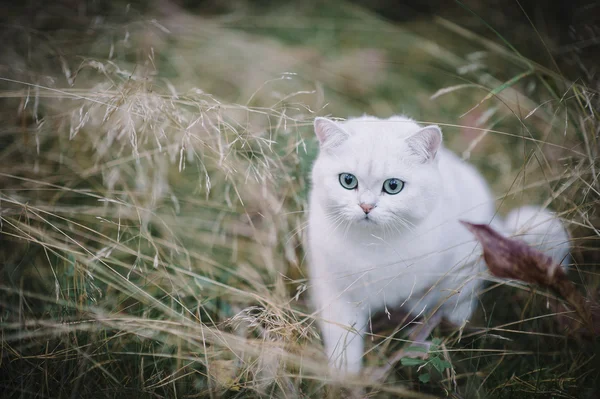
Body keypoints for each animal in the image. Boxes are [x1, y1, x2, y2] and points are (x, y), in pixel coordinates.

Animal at [308, 115, 568, 376]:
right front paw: (346, 378)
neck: (375, 244)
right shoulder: (336, 293)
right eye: (347, 180)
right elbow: (343, 342)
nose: (366, 206)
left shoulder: (451, 272)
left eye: (393, 186)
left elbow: (441, 302)